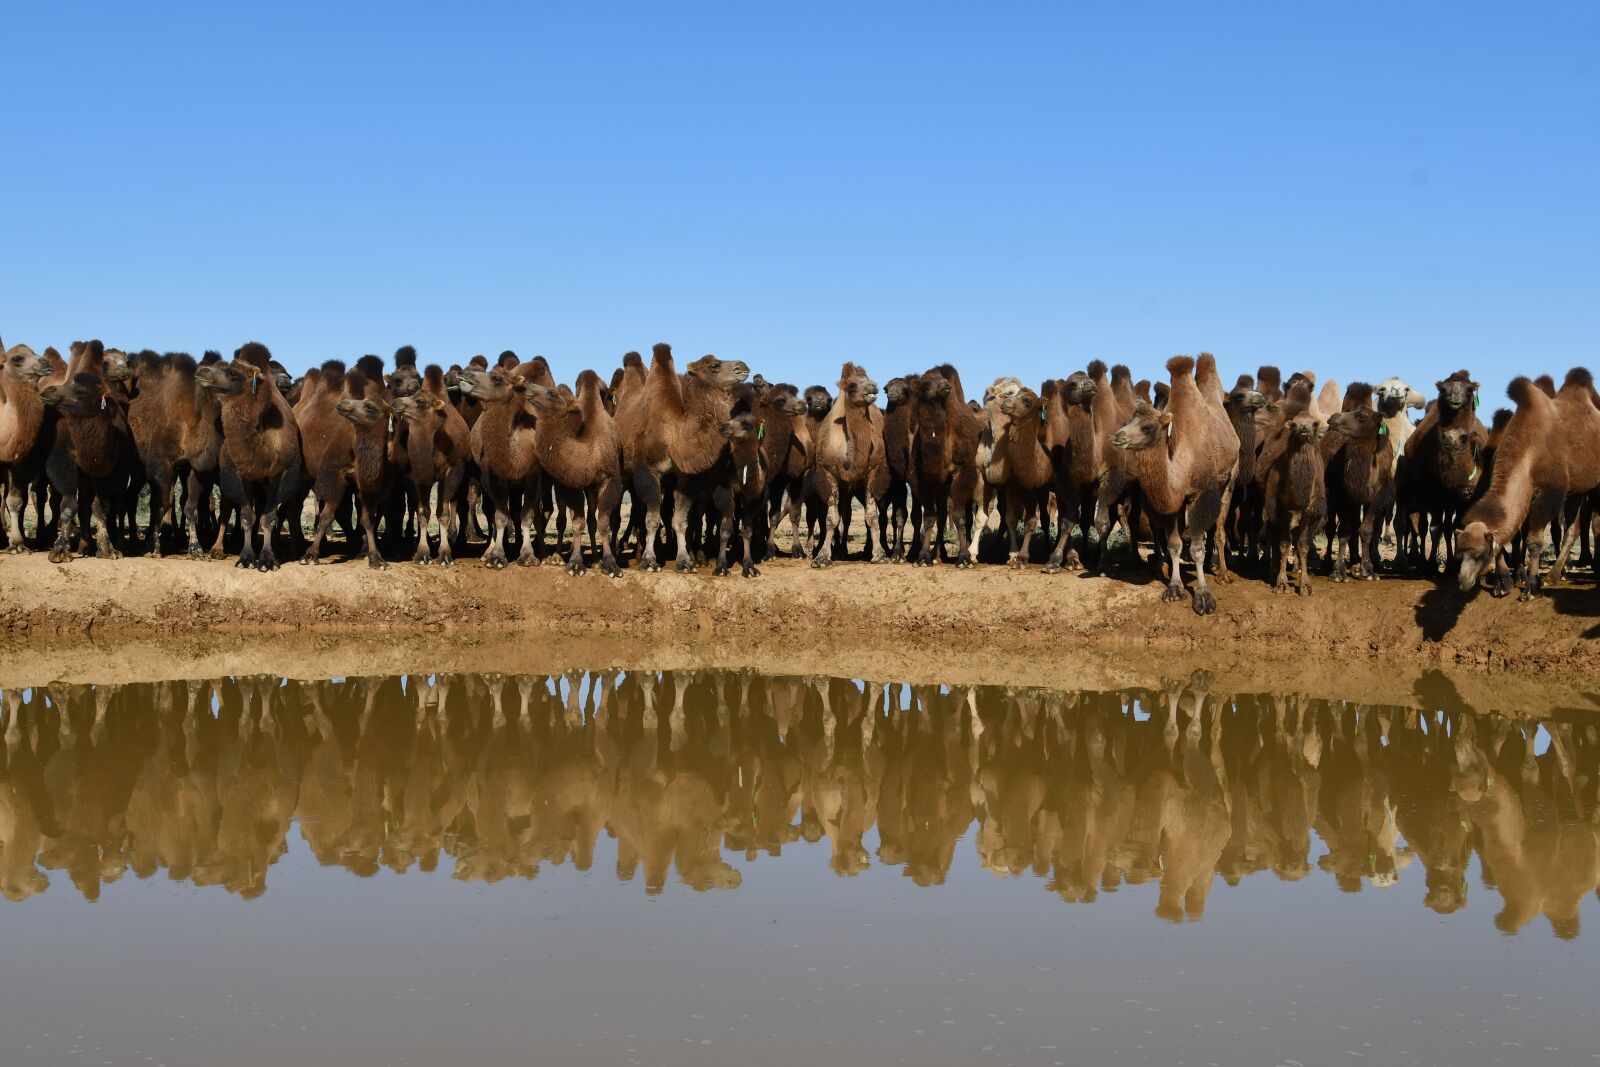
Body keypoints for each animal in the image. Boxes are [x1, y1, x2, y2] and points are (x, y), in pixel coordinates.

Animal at [194, 342, 302, 571]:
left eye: (233, 373)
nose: (202, 372)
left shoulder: (279, 475)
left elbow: (268, 518)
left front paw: (268, 558)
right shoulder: (238, 473)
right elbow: (246, 517)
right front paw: (246, 557)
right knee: (226, 509)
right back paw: (217, 549)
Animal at [390, 364, 472, 565]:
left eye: (420, 400)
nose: (396, 402)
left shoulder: (453, 471)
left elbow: (443, 512)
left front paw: (444, 554)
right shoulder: (416, 475)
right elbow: (423, 512)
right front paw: (422, 553)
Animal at [524, 369, 625, 577]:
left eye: (552, 394)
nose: (527, 386)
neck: (590, 450)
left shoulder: (609, 479)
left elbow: (603, 522)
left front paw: (610, 564)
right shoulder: (571, 483)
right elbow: (577, 522)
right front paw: (576, 564)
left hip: (592, 488)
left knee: (593, 519)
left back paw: (596, 560)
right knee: (566, 519)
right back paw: (558, 557)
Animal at [614, 343, 749, 571]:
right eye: (714, 365)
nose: (743, 366)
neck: (673, 435)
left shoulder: (683, 477)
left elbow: (680, 520)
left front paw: (685, 561)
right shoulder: (648, 471)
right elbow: (652, 519)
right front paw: (650, 561)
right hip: (624, 472)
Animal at [1110, 355, 1239, 614]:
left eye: (1147, 426)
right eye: (1127, 421)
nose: (1118, 436)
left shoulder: (1199, 495)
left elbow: (1197, 548)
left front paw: (1203, 596)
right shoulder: (1174, 503)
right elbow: (1174, 545)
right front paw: (1174, 588)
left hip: (1230, 479)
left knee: (1220, 526)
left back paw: (1223, 573)